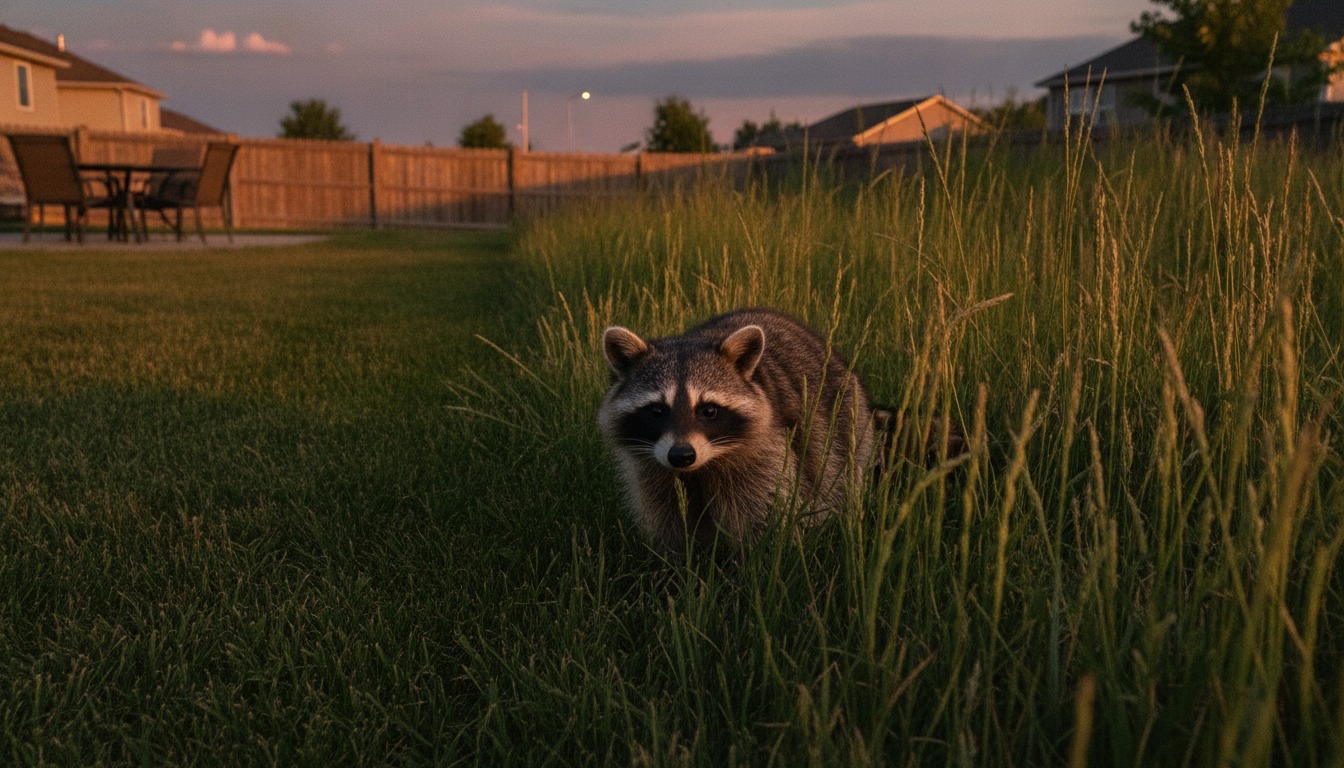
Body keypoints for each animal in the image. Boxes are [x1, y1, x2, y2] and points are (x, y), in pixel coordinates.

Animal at [598, 308, 875, 550]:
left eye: (709, 410)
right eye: (656, 411)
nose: (681, 455)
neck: (700, 469)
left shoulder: (768, 455)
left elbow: (767, 521)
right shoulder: (652, 472)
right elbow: (667, 517)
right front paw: (672, 560)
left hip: (848, 423)